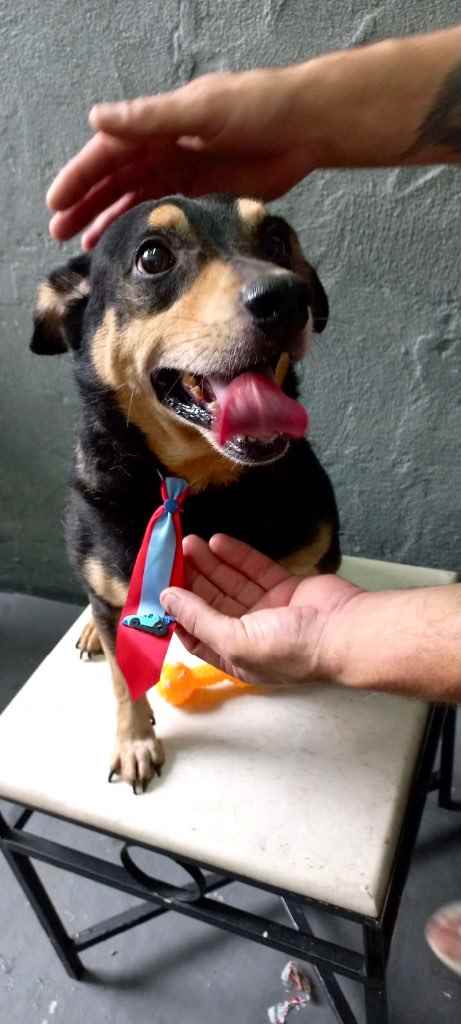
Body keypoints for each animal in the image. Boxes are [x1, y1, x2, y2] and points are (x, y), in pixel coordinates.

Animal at [31, 194, 340, 792]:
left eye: (276, 240)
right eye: (153, 256)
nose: (287, 297)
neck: (198, 486)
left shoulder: (320, 548)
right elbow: (125, 680)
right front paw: (135, 743)